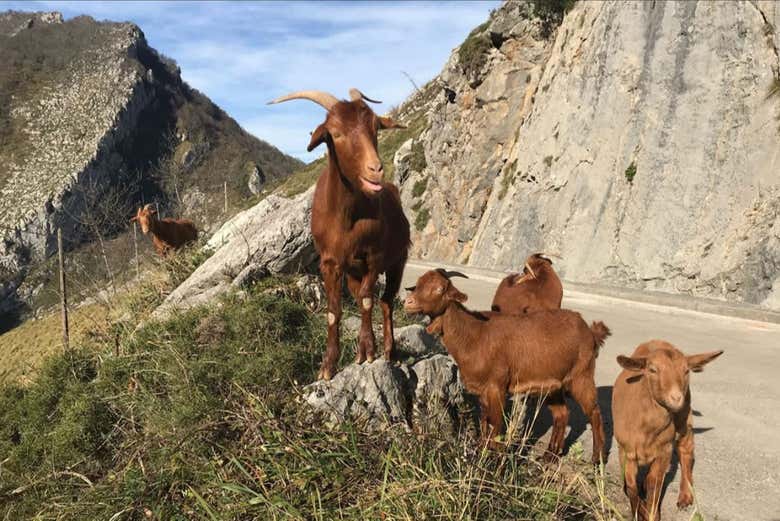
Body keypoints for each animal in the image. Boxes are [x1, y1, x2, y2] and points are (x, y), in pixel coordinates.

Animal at [269, 88, 410, 380]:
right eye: (335, 133)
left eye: (375, 127)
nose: (375, 169)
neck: (347, 218)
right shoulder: (330, 262)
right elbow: (334, 312)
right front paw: (328, 365)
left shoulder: (374, 257)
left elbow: (367, 300)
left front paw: (367, 350)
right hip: (354, 272)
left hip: (397, 261)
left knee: (386, 301)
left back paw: (389, 351)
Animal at [404, 269, 610, 463]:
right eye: (418, 283)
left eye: (440, 288)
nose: (408, 302)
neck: (473, 335)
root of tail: (590, 331)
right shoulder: (483, 391)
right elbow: (485, 422)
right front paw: (482, 452)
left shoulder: (498, 386)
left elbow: (495, 424)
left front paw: (491, 457)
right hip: (553, 385)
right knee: (562, 414)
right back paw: (550, 456)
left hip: (582, 375)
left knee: (594, 412)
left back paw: (597, 458)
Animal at [612, 340, 722, 521]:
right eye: (652, 370)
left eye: (686, 371)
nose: (676, 398)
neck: (646, 430)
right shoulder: (626, 451)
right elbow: (631, 487)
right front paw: (639, 511)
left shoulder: (664, 450)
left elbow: (654, 482)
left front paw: (651, 514)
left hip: (684, 417)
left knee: (686, 451)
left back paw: (685, 497)